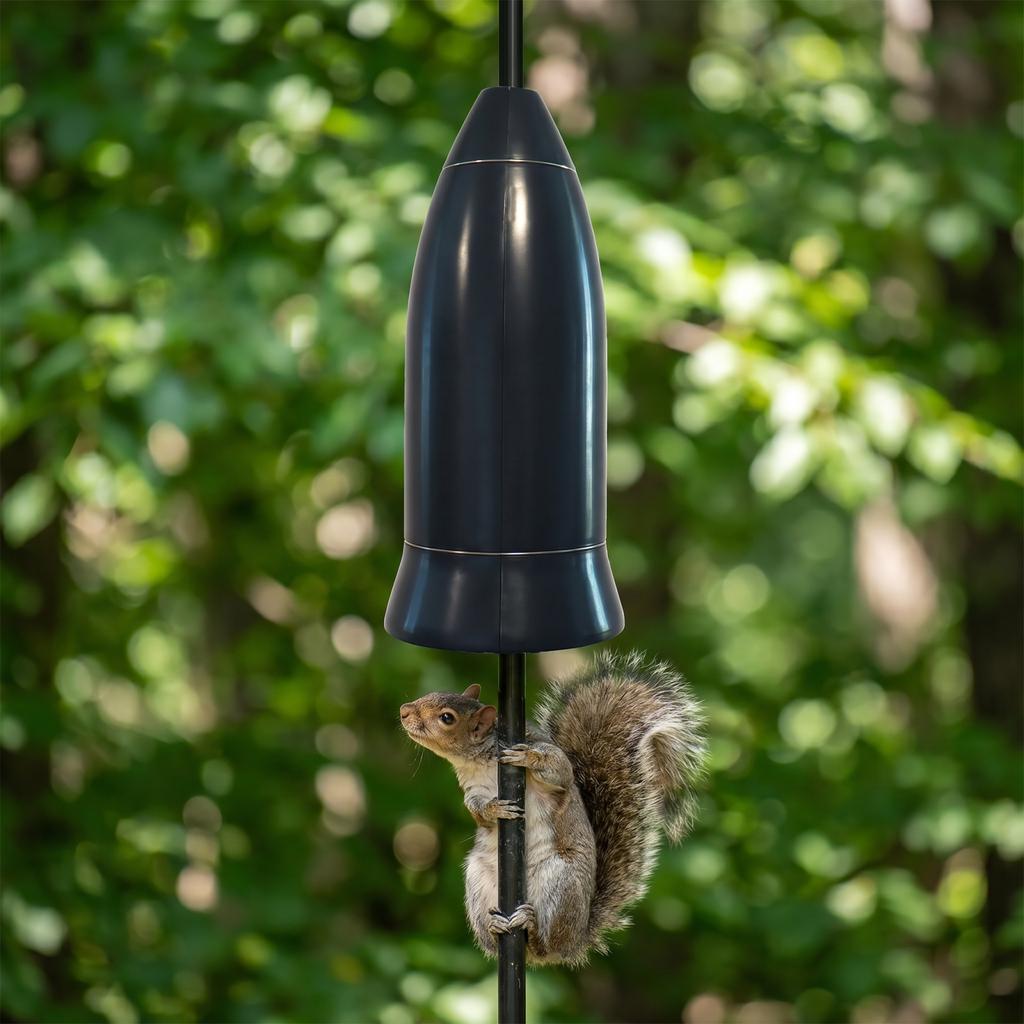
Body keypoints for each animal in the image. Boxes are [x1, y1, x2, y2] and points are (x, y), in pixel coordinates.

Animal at [399, 651, 706, 966]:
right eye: (433, 694)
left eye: (447, 717)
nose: (404, 711)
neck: (478, 759)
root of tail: (575, 939)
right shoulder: (472, 789)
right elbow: (475, 809)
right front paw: (494, 811)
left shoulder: (548, 757)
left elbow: (559, 771)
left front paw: (527, 758)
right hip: (477, 882)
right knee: (496, 941)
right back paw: (495, 927)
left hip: (562, 883)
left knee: (546, 943)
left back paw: (533, 929)